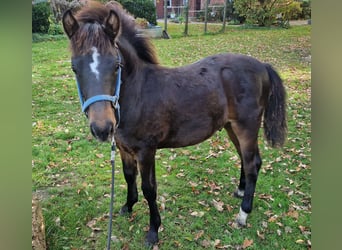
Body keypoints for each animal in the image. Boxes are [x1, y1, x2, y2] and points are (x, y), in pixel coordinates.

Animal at [61, 0, 286, 246]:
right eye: (74, 68)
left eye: (116, 65)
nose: (102, 128)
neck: (138, 94)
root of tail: (263, 66)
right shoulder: (123, 148)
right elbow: (129, 176)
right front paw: (128, 206)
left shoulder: (146, 151)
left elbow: (149, 188)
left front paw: (153, 231)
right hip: (231, 127)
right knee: (247, 160)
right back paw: (240, 191)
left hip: (247, 127)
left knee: (252, 164)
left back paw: (243, 213)